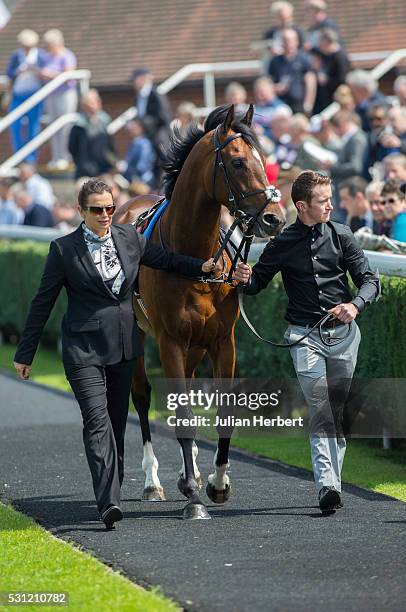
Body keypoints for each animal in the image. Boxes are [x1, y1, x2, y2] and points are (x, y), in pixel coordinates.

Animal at [114, 103, 284, 520]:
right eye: (237, 162)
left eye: (264, 159)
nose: (274, 218)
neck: (194, 260)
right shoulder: (170, 340)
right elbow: (182, 415)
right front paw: (193, 495)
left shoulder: (223, 341)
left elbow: (223, 411)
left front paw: (217, 483)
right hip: (143, 335)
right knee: (142, 395)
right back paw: (153, 481)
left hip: (195, 345)